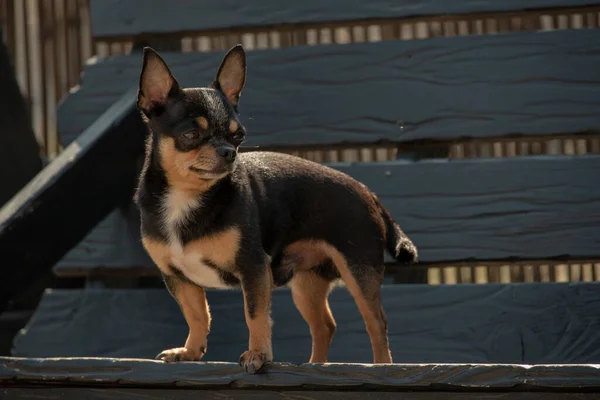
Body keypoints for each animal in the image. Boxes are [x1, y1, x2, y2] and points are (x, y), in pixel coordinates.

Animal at [134, 45, 420, 374]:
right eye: (190, 135)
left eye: (238, 136)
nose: (229, 152)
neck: (188, 197)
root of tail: (367, 192)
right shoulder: (178, 277)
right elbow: (197, 315)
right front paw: (191, 351)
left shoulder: (254, 269)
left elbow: (255, 315)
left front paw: (258, 354)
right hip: (307, 283)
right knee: (324, 326)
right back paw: (315, 365)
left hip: (359, 271)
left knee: (376, 324)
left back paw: (382, 367)